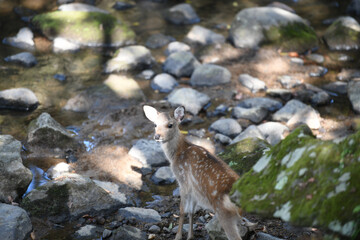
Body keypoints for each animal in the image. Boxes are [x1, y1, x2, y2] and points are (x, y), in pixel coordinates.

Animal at [142, 106, 255, 240]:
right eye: (155, 124)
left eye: (170, 125)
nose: (157, 136)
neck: (177, 154)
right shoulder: (194, 189)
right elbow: (191, 211)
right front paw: (190, 236)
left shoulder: (183, 180)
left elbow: (182, 209)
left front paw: (178, 236)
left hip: (224, 213)